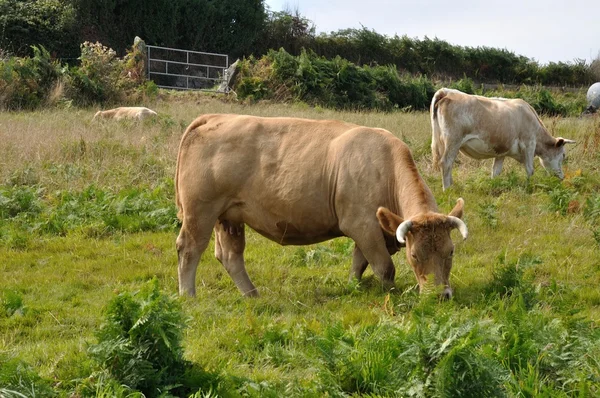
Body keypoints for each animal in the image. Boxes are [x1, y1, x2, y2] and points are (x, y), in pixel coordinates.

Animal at [175, 115, 468, 298]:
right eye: (415, 255)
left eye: (451, 251)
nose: (440, 295)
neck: (385, 167)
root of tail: (214, 117)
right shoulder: (362, 225)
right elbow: (384, 267)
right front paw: (392, 295)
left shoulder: (367, 230)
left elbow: (359, 263)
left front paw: (352, 287)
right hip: (200, 211)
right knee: (189, 249)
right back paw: (188, 296)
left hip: (229, 217)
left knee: (230, 255)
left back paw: (252, 295)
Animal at [428, 89, 576, 191]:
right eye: (563, 155)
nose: (562, 177)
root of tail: (447, 91)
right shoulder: (529, 143)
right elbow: (530, 169)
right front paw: (529, 186)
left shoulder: (502, 152)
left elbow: (496, 171)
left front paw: (493, 186)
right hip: (453, 140)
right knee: (446, 163)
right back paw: (447, 189)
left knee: (449, 164)